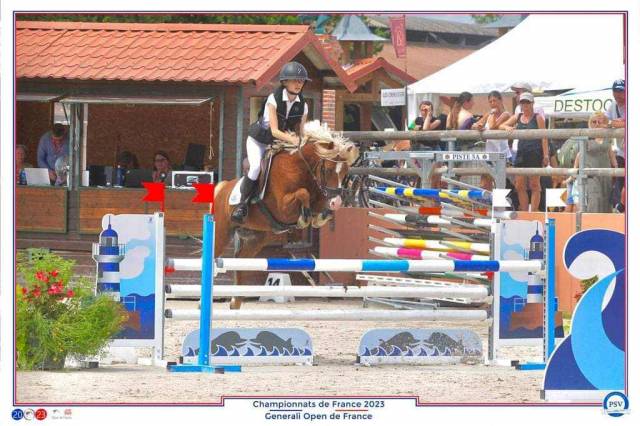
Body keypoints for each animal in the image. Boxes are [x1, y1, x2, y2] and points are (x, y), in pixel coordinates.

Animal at [214, 121, 359, 309]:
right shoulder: (283, 208)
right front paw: (304, 219)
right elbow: (303, 193)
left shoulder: (319, 196)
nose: (337, 202)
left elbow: (318, 206)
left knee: (239, 261)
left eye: (345, 172)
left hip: (256, 239)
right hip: (222, 232)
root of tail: (221, 188)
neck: (302, 169)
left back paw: (235, 302)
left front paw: (319, 217)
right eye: (327, 170)